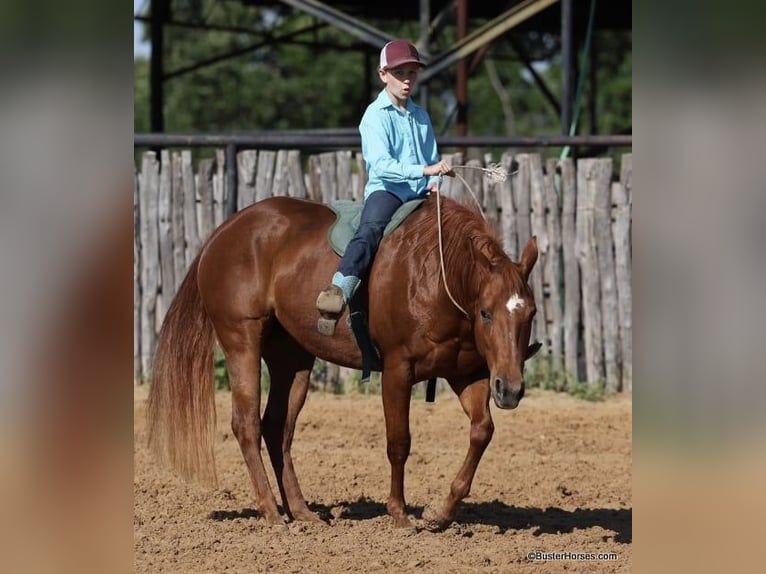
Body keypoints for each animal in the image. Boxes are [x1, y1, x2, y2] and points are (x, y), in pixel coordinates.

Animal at [148, 196, 540, 532]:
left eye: (531, 313)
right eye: (486, 312)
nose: (511, 389)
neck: (441, 279)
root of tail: (223, 232)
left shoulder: (469, 374)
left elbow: (481, 431)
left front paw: (439, 513)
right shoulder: (397, 371)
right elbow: (399, 442)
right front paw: (399, 514)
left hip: (292, 359)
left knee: (277, 428)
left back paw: (302, 512)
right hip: (241, 341)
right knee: (247, 424)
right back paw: (272, 513)